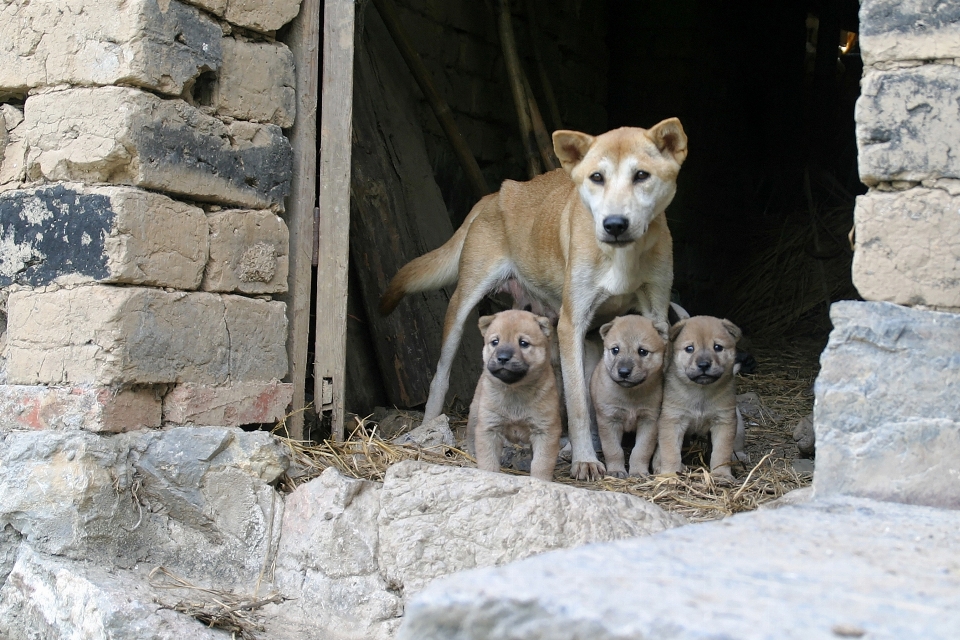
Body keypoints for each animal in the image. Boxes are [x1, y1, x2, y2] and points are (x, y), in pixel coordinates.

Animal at [464, 310, 564, 480]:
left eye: (523, 343)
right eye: (495, 342)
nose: (503, 357)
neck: (515, 390)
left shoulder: (545, 430)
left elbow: (541, 464)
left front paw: (540, 481)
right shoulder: (489, 428)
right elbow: (488, 460)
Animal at [588, 312, 664, 478]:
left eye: (642, 351)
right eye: (615, 350)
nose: (623, 372)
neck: (631, 394)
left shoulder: (649, 420)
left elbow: (641, 450)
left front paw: (638, 471)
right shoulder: (609, 419)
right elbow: (613, 450)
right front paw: (616, 470)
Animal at [660, 316, 744, 480]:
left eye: (718, 347)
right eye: (689, 348)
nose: (704, 364)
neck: (701, 392)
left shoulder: (724, 422)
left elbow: (721, 452)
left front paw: (721, 474)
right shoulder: (673, 420)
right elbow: (670, 452)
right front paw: (670, 474)